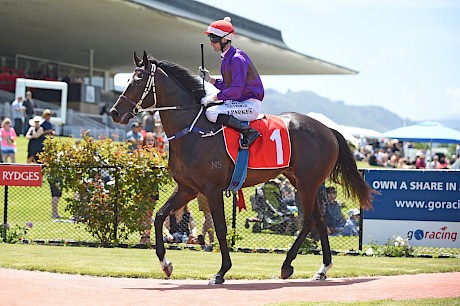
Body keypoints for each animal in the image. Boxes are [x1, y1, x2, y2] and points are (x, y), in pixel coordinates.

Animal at [110, 50, 374, 284]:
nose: (114, 112)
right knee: (318, 219)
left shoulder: (212, 189)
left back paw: (289, 264)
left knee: (309, 220)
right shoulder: (187, 189)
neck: (194, 130)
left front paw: (221, 272)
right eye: (128, 79)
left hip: (308, 183)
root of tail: (327, 129)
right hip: (300, 181)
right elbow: (158, 216)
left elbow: (221, 228)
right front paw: (166, 264)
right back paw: (321, 268)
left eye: (138, 79)